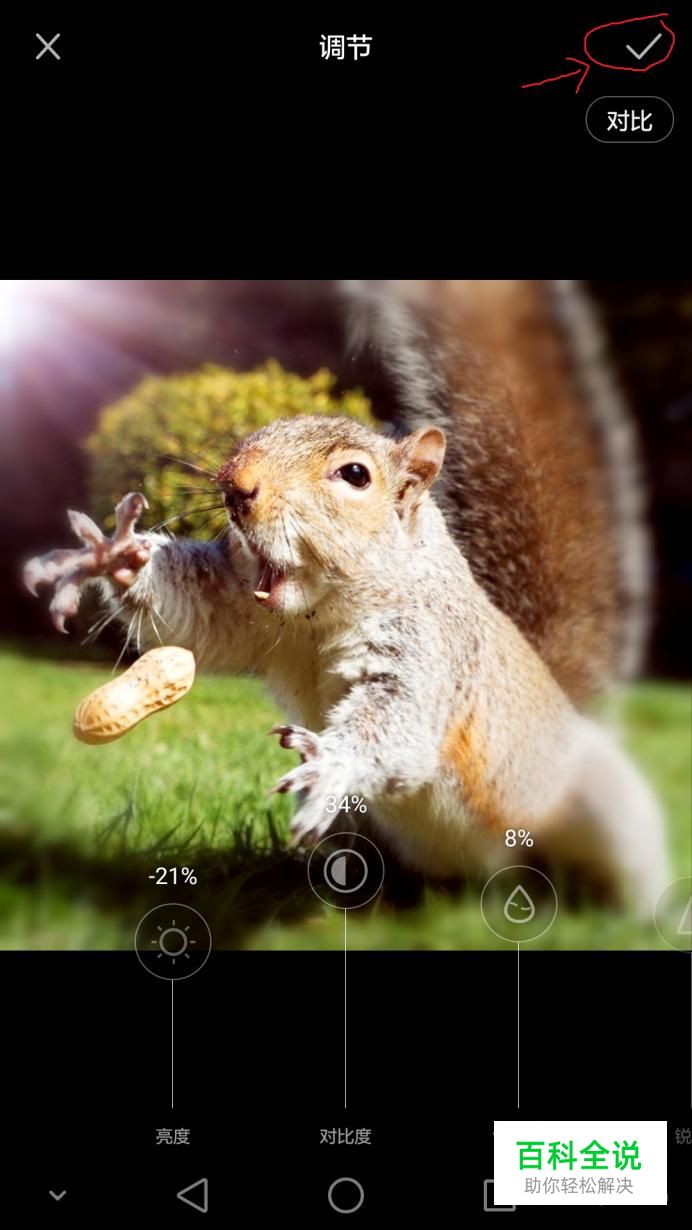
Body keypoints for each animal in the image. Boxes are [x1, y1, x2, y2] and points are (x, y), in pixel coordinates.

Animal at [24, 279, 668, 915]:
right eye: (254, 435)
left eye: (355, 475)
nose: (235, 486)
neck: (319, 616)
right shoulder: (239, 608)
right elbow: (191, 618)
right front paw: (114, 557)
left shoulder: (431, 651)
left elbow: (399, 722)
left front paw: (335, 763)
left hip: (598, 808)